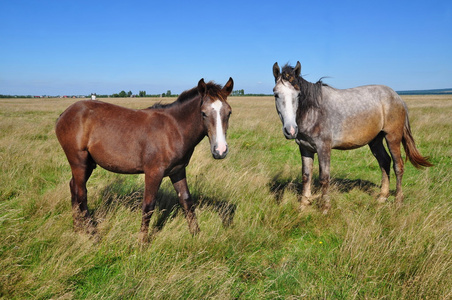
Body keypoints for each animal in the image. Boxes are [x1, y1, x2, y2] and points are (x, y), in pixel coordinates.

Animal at [54, 78, 233, 241]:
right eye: (203, 113)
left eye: (229, 112)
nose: (220, 150)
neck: (174, 129)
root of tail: (64, 114)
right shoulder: (154, 173)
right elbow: (148, 206)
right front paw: (142, 243)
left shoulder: (178, 171)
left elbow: (187, 201)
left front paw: (196, 234)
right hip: (79, 161)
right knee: (81, 194)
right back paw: (92, 233)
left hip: (88, 164)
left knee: (73, 187)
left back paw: (77, 229)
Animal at [274, 61, 432, 213]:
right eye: (276, 94)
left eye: (298, 94)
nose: (290, 130)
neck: (313, 112)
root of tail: (397, 97)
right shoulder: (305, 148)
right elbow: (306, 176)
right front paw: (303, 206)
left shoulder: (323, 148)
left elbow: (324, 177)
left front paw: (325, 208)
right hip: (375, 140)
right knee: (384, 162)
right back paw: (382, 197)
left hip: (392, 137)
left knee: (398, 165)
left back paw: (398, 201)